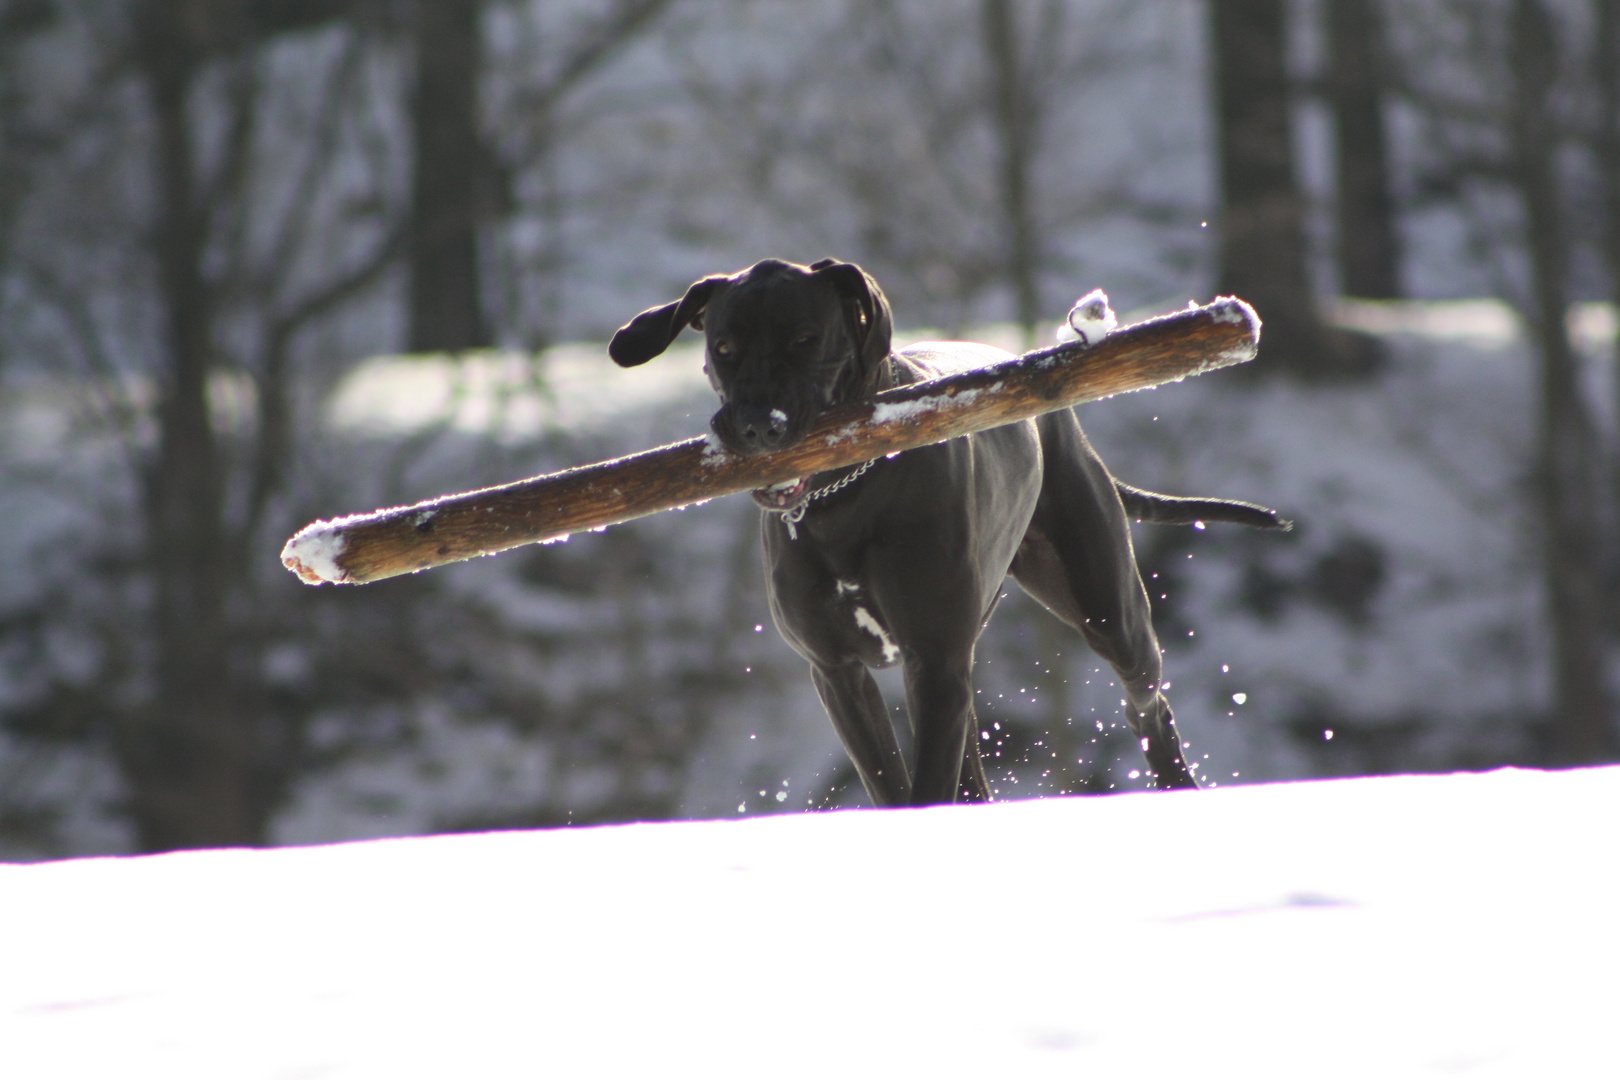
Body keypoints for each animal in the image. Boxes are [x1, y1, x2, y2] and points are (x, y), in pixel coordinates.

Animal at [612, 257, 1283, 806]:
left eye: (805, 340)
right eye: (724, 346)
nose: (756, 426)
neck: (842, 496)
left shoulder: (934, 663)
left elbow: (926, 787)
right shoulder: (839, 673)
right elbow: (891, 783)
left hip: (1105, 607)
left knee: (1147, 701)